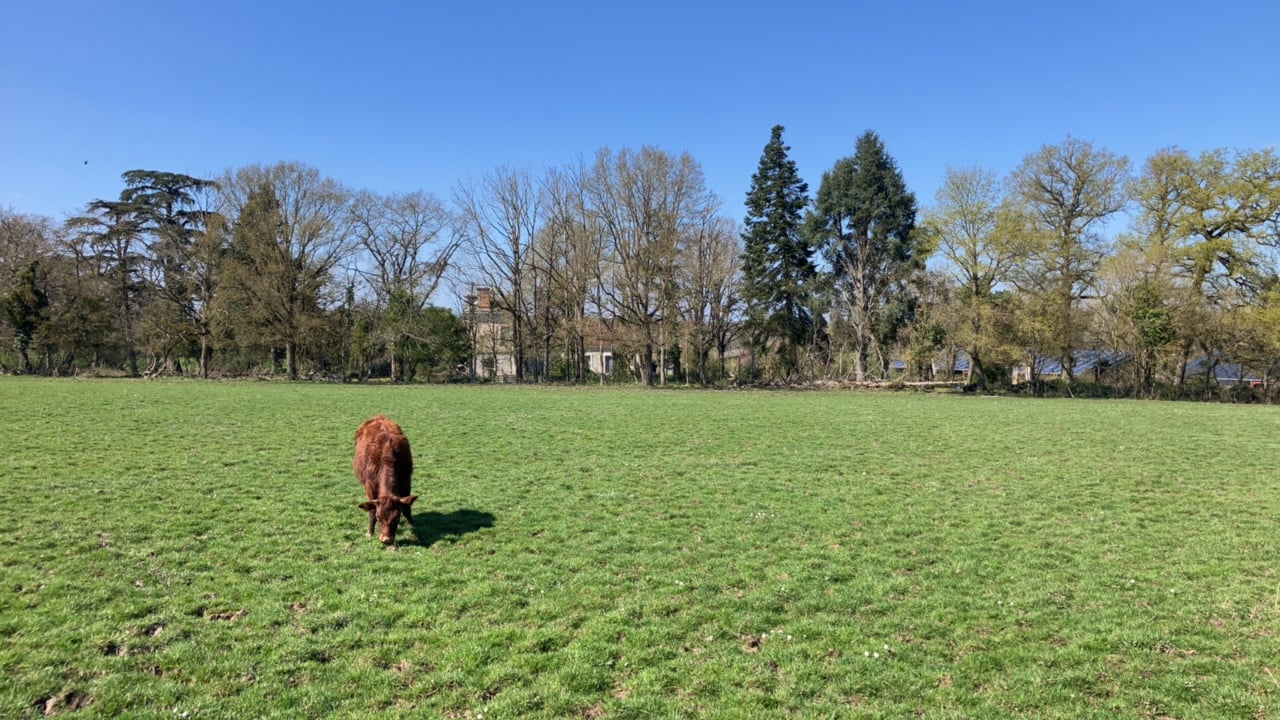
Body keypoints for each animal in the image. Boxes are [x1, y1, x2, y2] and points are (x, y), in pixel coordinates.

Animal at [353, 414, 418, 545]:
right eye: (379, 517)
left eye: (397, 517)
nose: (386, 540)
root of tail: (379, 416)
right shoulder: (369, 487)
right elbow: (371, 510)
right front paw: (370, 531)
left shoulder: (406, 481)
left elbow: (407, 507)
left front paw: (412, 524)